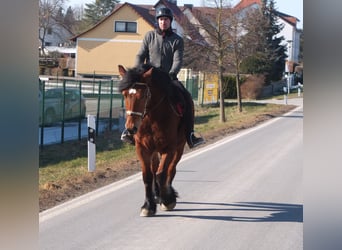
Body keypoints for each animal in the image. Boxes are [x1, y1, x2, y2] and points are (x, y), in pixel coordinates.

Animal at [118, 64, 187, 217]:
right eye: (125, 94)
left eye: (144, 95)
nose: (131, 128)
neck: (152, 118)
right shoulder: (142, 149)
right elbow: (148, 176)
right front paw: (148, 206)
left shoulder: (169, 148)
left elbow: (162, 173)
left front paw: (167, 200)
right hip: (154, 150)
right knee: (155, 168)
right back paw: (156, 195)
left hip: (179, 148)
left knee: (171, 169)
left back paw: (166, 194)